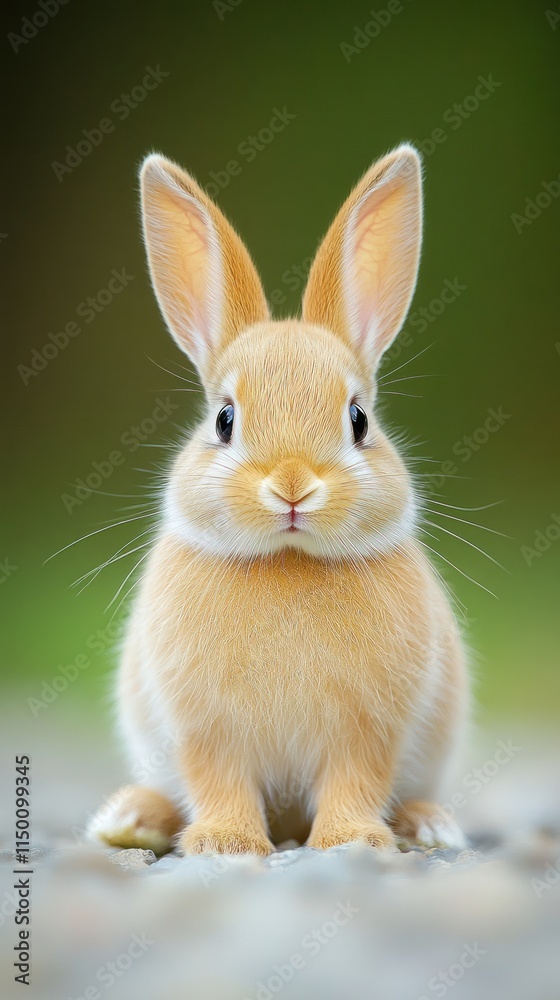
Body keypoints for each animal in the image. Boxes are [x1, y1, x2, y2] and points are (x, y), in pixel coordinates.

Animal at [87, 143, 469, 856]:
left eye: (358, 420)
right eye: (224, 419)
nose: (292, 486)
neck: (288, 561)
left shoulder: (367, 733)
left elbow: (355, 782)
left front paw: (351, 842)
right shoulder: (206, 733)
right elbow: (219, 783)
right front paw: (226, 845)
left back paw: (429, 827)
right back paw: (128, 820)